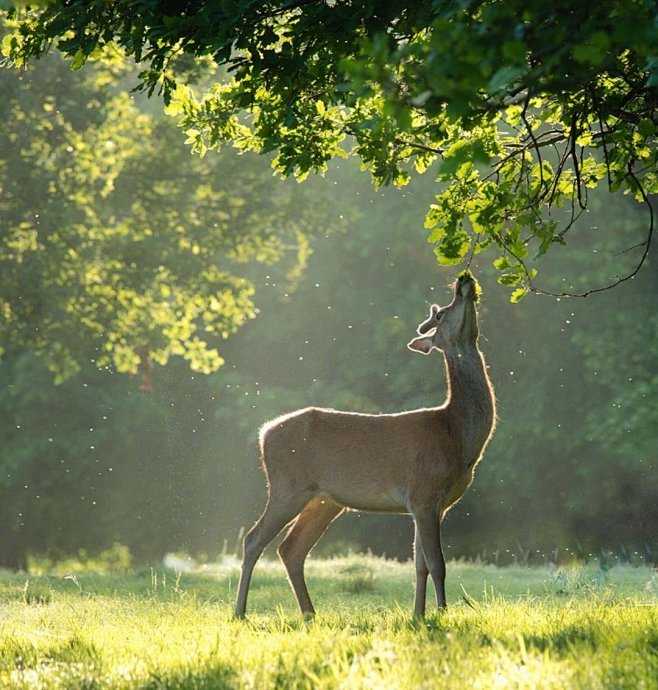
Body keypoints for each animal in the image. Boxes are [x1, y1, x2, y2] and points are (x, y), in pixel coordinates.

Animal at [233, 272, 494, 616]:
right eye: (440, 314)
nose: (464, 281)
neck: (457, 437)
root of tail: (264, 433)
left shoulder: (429, 505)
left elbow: (420, 565)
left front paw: (418, 615)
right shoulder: (424, 492)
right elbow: (438, 564)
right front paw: (441, 613)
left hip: (324, 500)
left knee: (290, 549)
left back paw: (310, 614)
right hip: (287, 486)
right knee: (253, 539)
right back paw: (240, 612)